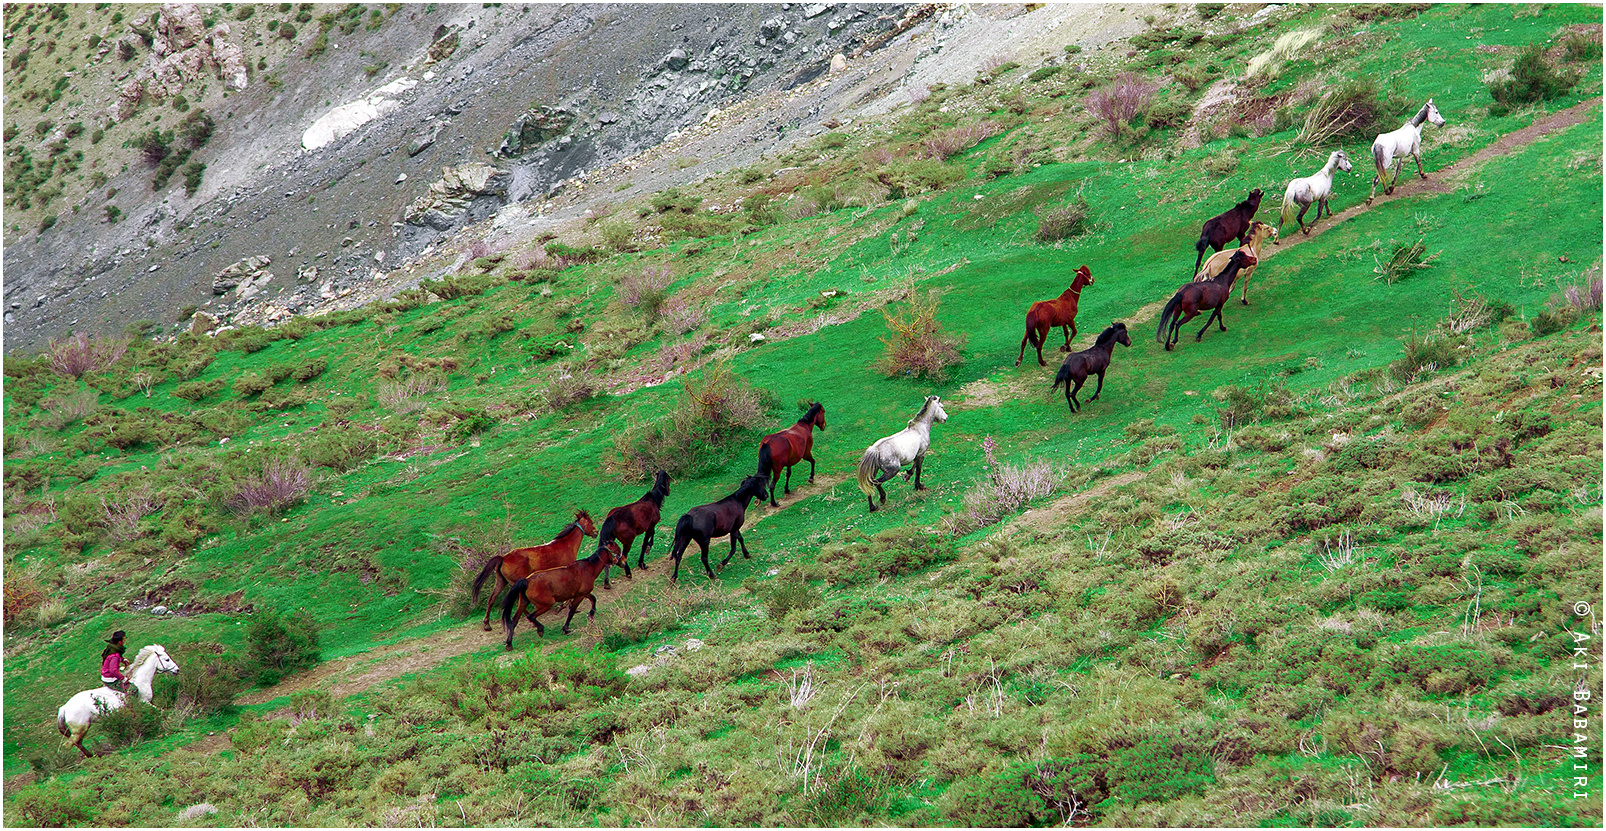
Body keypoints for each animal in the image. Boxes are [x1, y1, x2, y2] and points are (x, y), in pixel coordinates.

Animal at [475, 507, 603, 633]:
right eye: (590, 522)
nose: (596, 532)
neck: (565, 545)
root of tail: (503, 558)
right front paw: (564, 606)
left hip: (502, 581)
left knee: (492, 599)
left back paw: (487, 624)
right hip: (515, 584)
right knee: (519, 604)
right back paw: (534, 623)